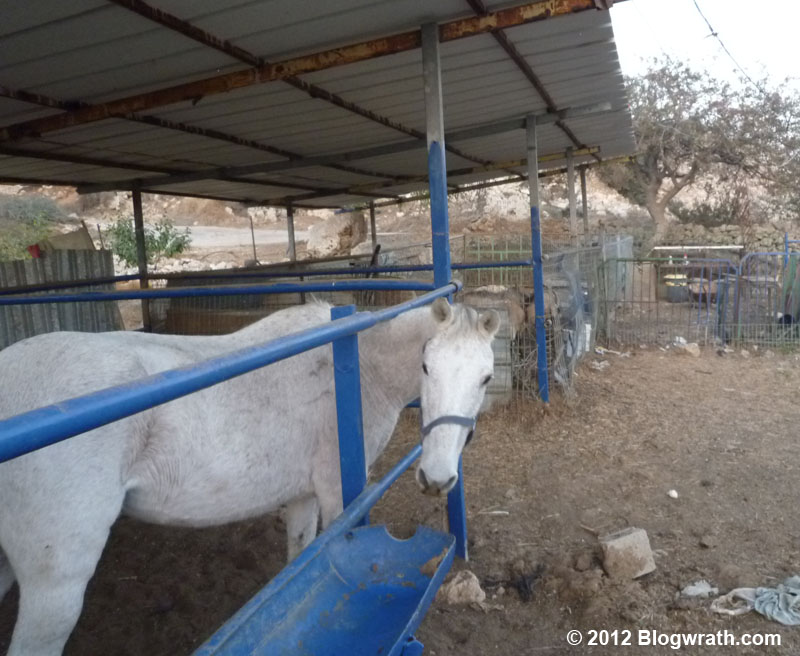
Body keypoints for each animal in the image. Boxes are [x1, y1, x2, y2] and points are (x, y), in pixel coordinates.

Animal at [0, 298, 500, 656]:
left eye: (486, 379)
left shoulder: (303, 496)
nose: (437, 478)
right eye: (426, 367)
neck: (357, 367)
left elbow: (300, 560)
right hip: (56, 586)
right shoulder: (339, 494)